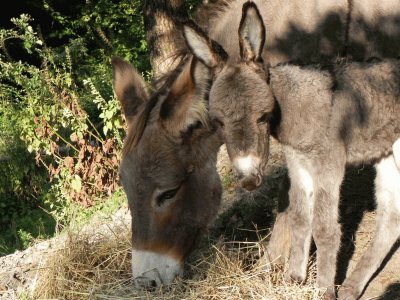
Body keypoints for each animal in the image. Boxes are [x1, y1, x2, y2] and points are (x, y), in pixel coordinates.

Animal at [184, 5, 400, 300]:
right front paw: (295, 278)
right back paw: (352, 286)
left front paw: (323, 290)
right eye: (219, 123)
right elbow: (299, 217)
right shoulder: (298, 161)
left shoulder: (328, 162)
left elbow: (323, 227)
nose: (248, 181)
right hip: (385, 151)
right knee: (391, 215)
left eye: (262, 117)